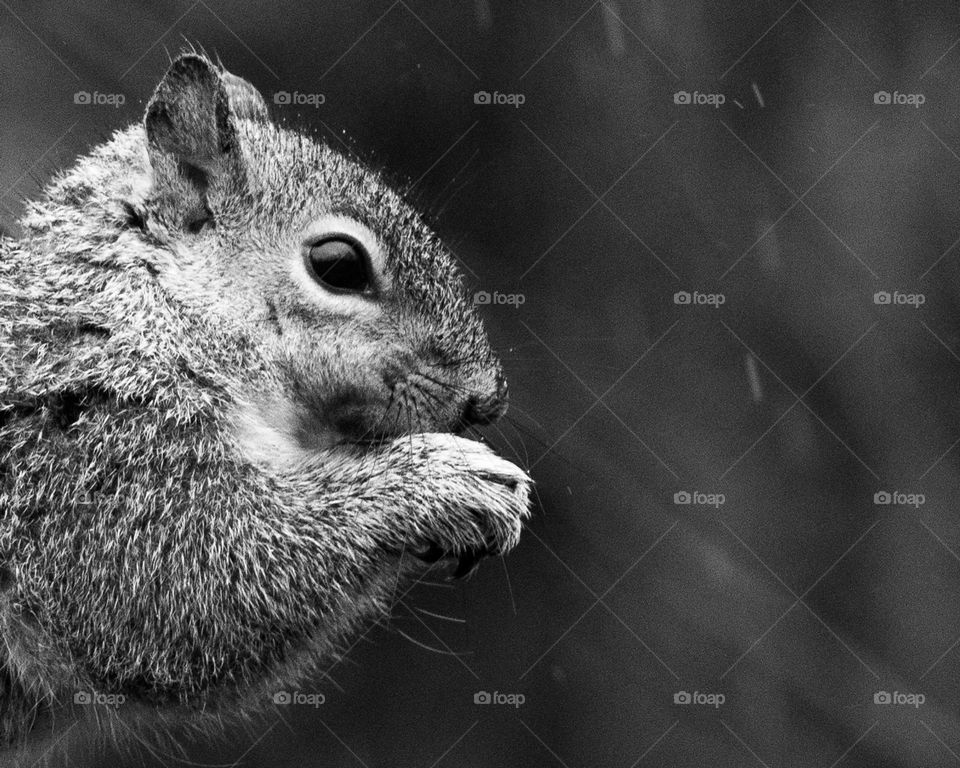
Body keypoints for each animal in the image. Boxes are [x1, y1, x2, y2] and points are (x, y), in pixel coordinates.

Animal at [0, 54, 532, 760]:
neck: (142, 314)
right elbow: (191, 589)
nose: (487, 399)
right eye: (337, 264)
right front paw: (447, 481)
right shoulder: (98, 458)